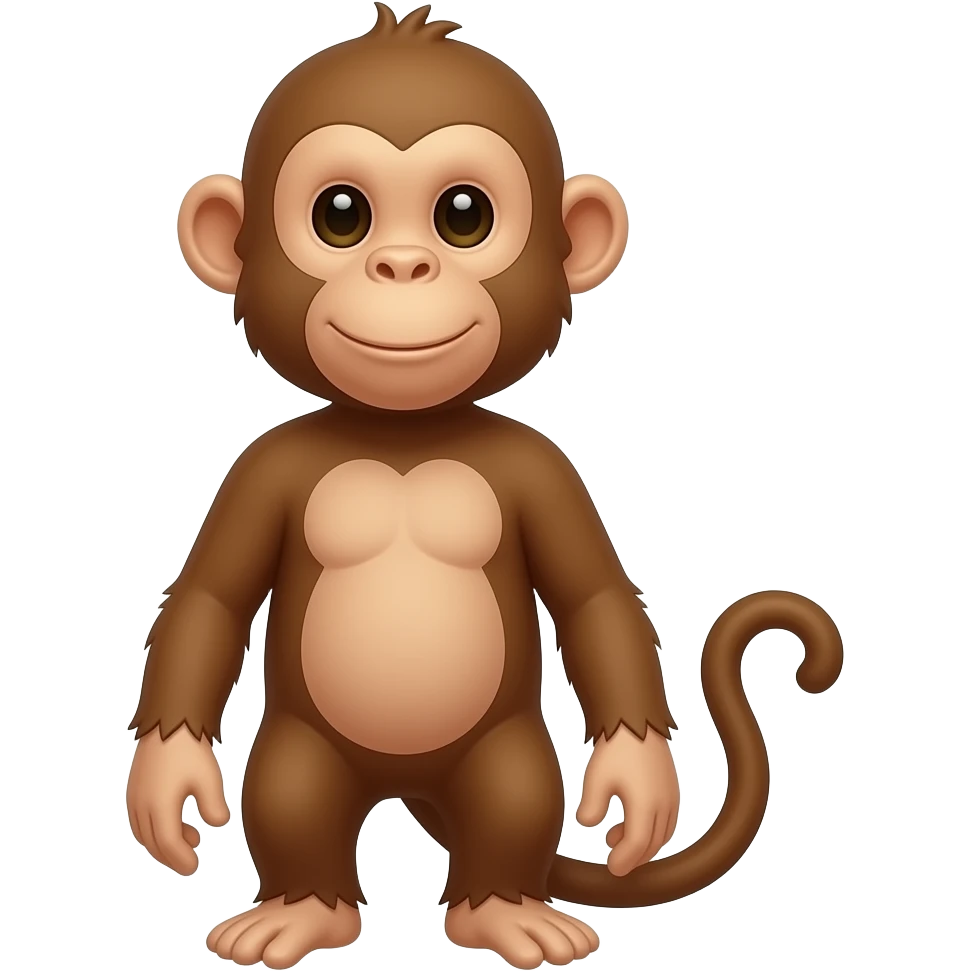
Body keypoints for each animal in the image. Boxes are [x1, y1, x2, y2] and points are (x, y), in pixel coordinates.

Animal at [129, 5, 846, 969]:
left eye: (462, 216)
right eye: (340, 215)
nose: (402, 266)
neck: (403, 434)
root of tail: (404, 783)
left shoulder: (544, 469)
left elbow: (593, 598)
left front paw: (637, 782)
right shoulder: (259, 469)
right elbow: (209, 597)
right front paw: (165, 781)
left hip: (505, 751)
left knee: (512, 800)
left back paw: (504, 911)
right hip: (300, 750)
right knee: (290, 796)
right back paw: (301, 911)